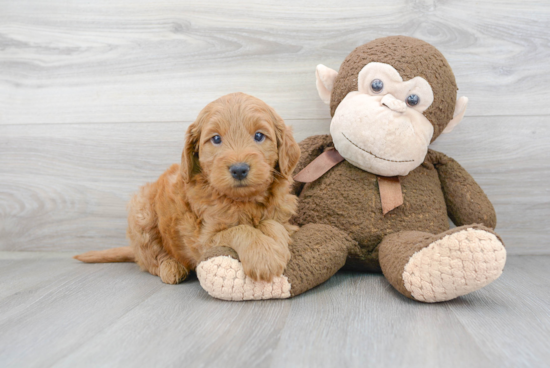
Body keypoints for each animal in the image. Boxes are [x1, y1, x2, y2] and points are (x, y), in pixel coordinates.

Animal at [74, 92, 302, 284]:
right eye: (216, 139)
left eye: (259, 136)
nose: (239, 169)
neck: (243, 200)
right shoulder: (205, 239)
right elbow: (240, 229)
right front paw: (263, 257)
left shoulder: (281, 214)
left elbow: (274, 224)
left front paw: (277, 245)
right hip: (142, 214)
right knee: (150, 259)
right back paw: (171, 267)